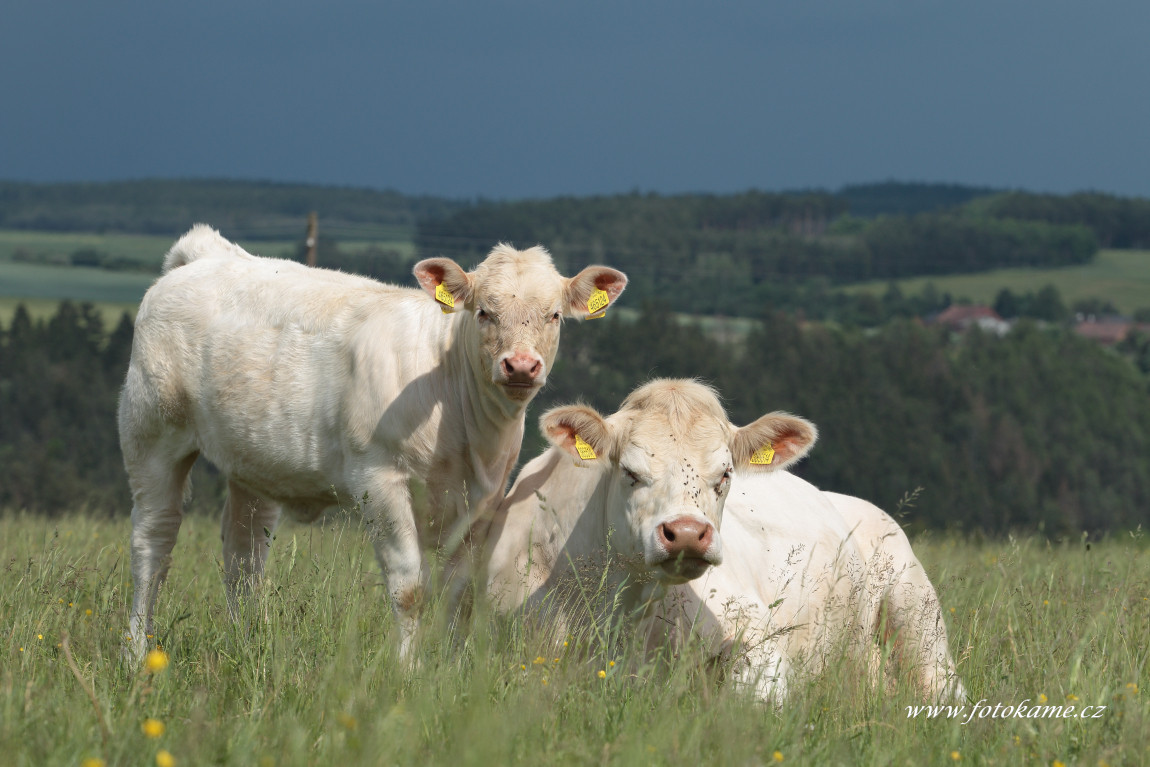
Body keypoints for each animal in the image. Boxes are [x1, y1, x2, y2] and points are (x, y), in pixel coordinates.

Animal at [119, 225, 630, 662]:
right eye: (484, 311)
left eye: (554, 315)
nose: (521, 366)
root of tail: (206, 254)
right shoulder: (379, 479)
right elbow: (410, 589)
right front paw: (407, 671)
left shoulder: (483, 500)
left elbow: (459, 593)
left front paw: (449, 671)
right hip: (152, 434)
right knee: (153, 544)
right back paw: (136, 653)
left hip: (251, 461)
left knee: (244, 555)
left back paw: (247, 643)